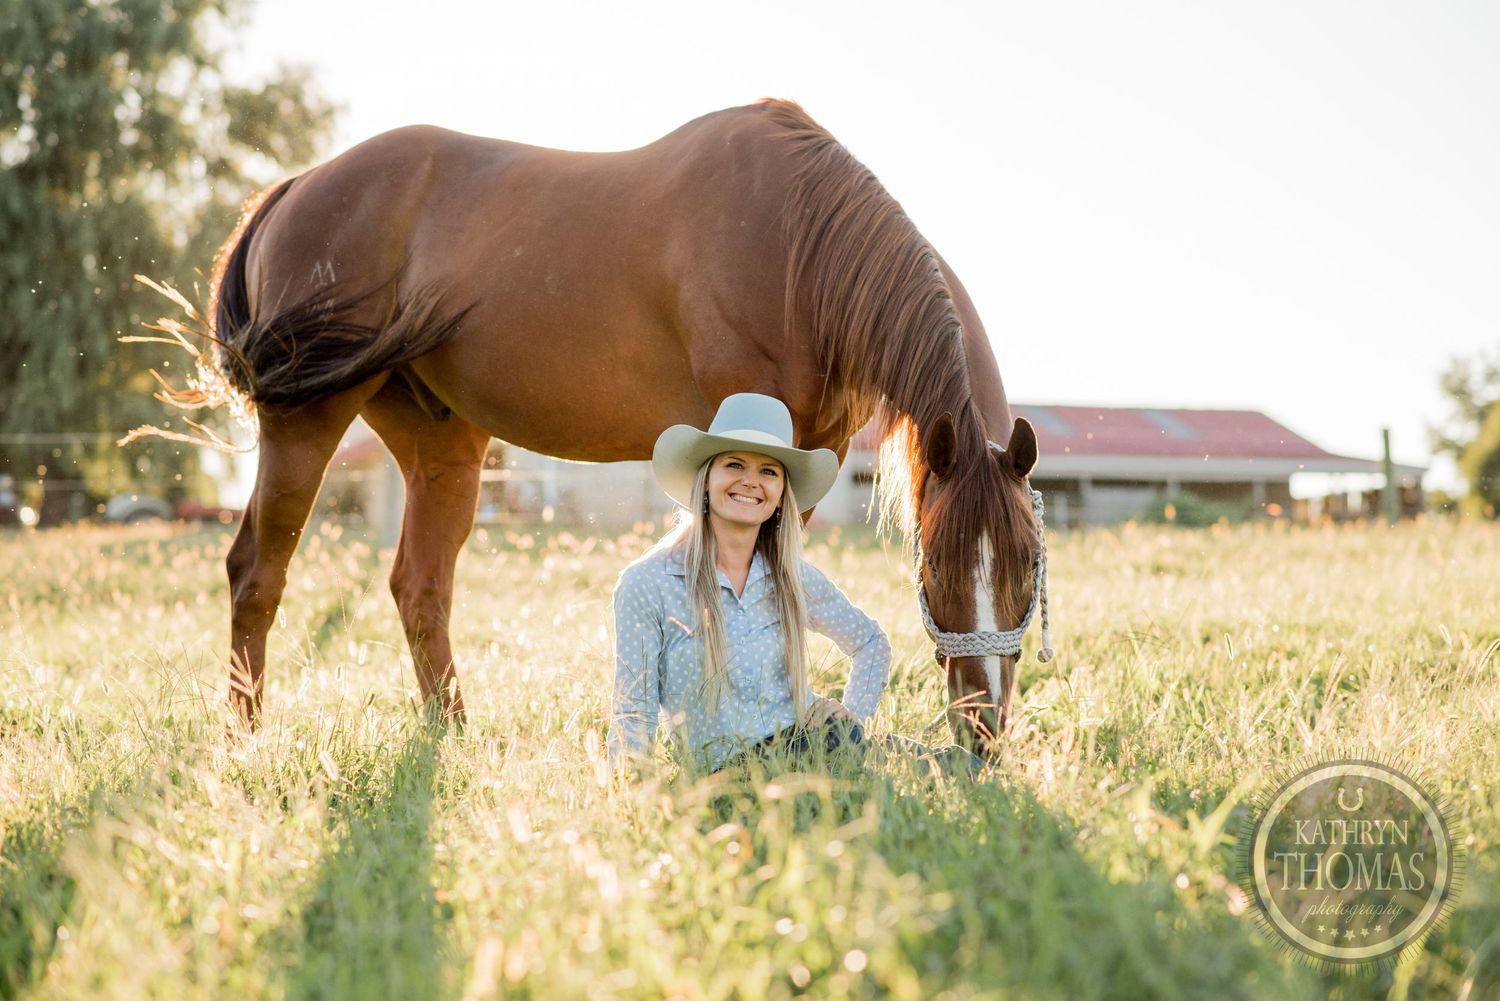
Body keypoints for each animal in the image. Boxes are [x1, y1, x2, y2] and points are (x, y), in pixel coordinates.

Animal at [201, 99, 1049, 753]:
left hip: (443, 446)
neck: (795, 244)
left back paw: (453, 734)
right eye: (935, 571)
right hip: (306, 419)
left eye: (1027, 569)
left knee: (420, 584)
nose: (983, 727)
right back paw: (244, 739)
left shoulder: (814, 452)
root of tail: (295, 186)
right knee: (256, 570)